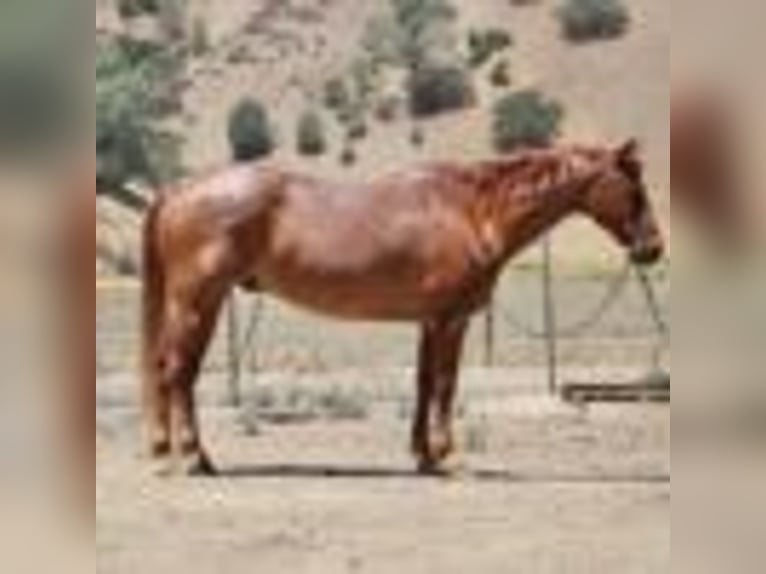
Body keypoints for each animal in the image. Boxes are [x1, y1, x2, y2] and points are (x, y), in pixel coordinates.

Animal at [141, 140, 664, 476]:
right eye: (636, 189)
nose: (654, 248)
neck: (473, 212)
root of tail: (179, 190)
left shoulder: (429, 322)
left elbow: (424, 383)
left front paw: (423, 456)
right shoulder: (451, 320)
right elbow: (446, 385)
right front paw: (447, 456)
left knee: (171, 371)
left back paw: (170, 451)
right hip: (197, 303)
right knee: (178, 372)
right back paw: (193, 458)